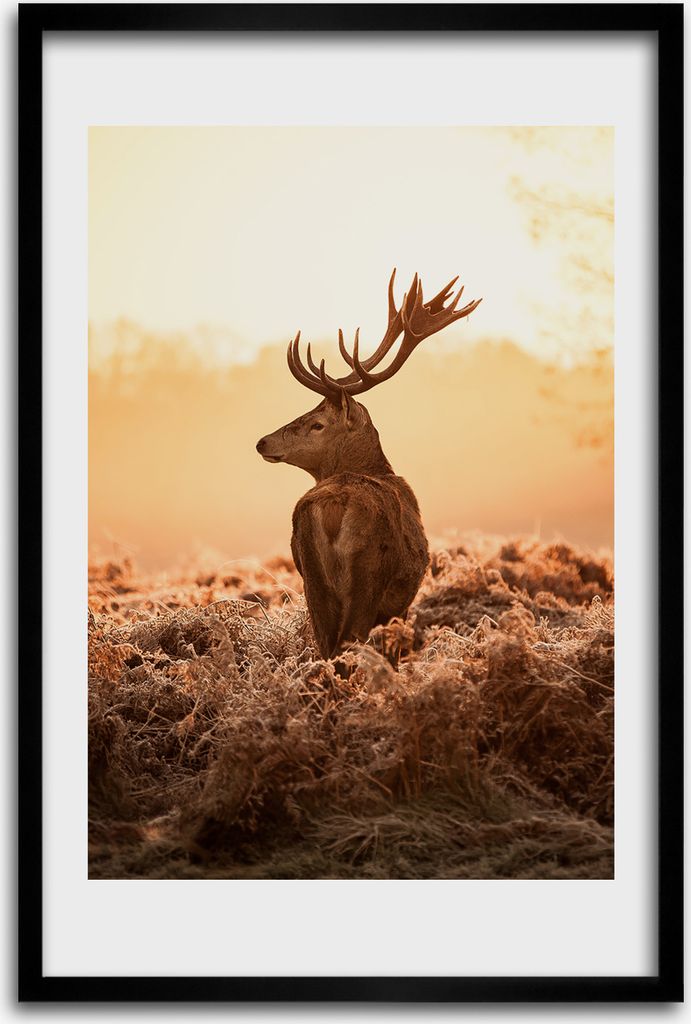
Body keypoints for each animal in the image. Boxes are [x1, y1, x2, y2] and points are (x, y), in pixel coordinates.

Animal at [256, 270, 481, 661]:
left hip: (311, 578)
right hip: (368, 576)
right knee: (348, 644)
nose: (263, 442)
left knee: (326, 646)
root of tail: (333, 506)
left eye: (317, 423)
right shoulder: (399, 603)